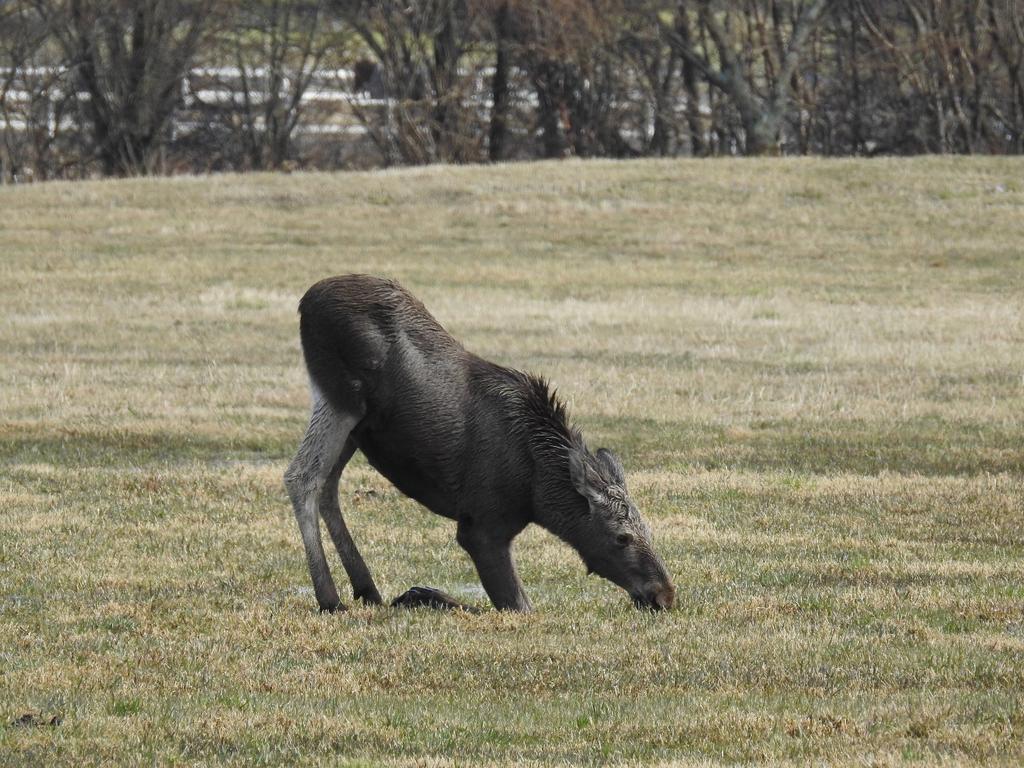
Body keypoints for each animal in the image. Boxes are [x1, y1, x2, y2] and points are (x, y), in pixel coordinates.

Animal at [284, 274, 675, 614]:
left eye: (649, 530)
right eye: (622, 537)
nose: (664, 595)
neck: (536, 492)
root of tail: (306, 300)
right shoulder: (481, 527)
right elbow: (519, 607)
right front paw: (420, 595)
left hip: (356, 426)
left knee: (328, 484)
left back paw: (367, 588)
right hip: (342, 401)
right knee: (302, 477)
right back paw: (330, 597)